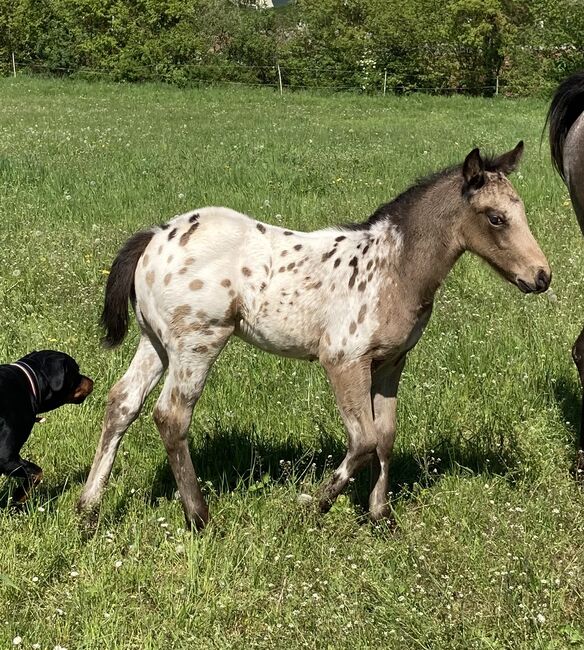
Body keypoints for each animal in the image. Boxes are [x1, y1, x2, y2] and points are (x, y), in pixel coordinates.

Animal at [0, 350, 93, 502]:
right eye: (76, 371)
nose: (92, 381)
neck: (29, 385)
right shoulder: (6, 457)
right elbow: (37, 472)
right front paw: (19, 497)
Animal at [80, 142, 548, 528]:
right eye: (496, 218)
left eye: (522, 211)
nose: (541, 277)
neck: (393, 267)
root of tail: (157, 235)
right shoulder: (344, 360)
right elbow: (364, 440)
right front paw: (310, 506)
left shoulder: (391, 362)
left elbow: (386, 436)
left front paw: (381, 516)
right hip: (198, 342)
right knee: (171, 415)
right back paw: (199, 517)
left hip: (157, 343)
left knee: (122, 403)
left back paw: (88, 508)